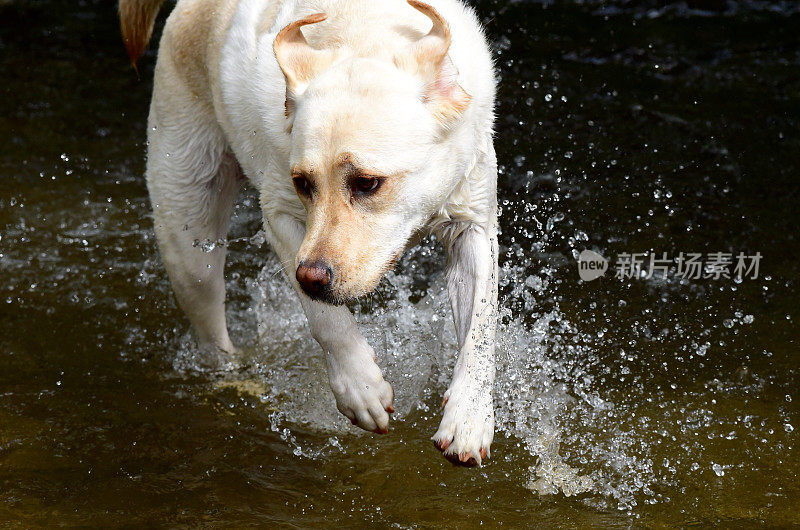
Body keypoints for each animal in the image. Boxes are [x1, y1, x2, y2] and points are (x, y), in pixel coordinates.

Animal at [120, 0, 494, 462]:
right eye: (303, 183)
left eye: (367, 183)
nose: (312, 277)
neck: (361, 29)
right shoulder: (280, 216)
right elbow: (327, 320)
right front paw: (360, 389)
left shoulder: (473, 223)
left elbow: (481, 329)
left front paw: (469, 417)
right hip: (190, 241)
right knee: (213, 334)